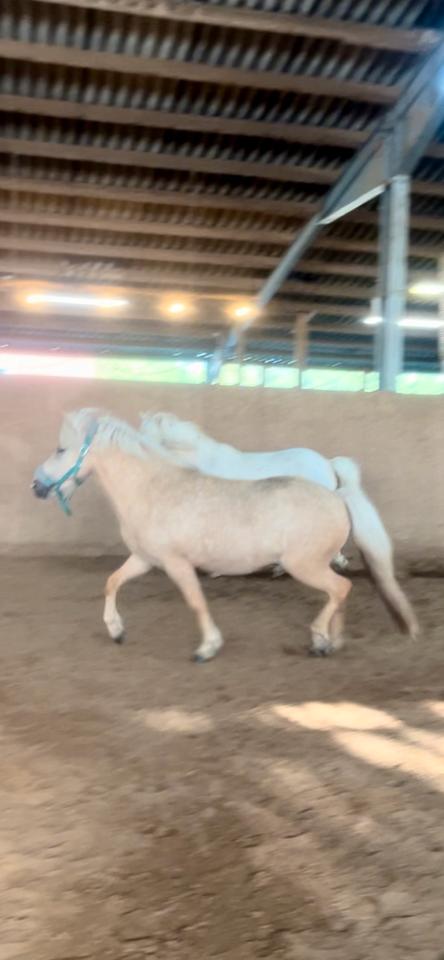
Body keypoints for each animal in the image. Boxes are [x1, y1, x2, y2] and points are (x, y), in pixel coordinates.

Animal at [33, 408, 418, 664]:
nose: (36, 487)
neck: (153, 488)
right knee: (339, 592)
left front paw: (207, 648)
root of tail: (337, 494)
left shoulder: (176, 563)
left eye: (60, 449)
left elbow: (196, 601)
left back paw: (319, 638)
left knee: (341, 588)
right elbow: (112, 582)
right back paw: (330, 642)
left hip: (304, 565)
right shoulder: (145, 559)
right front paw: (116, 631)